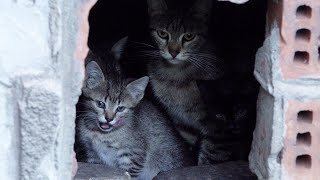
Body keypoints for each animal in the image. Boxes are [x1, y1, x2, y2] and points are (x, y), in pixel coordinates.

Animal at [75, 39, 194, 179]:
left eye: (120, 108)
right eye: (100, 104)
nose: (109, 119)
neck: (100, 134)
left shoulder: (132, 156)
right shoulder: (93, 154)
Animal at [145, 0, 228, 165]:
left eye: (189, 36)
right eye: (163, 34)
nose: (173, 52)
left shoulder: (216, 127)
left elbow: (211, 156)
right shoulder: (182, 123)